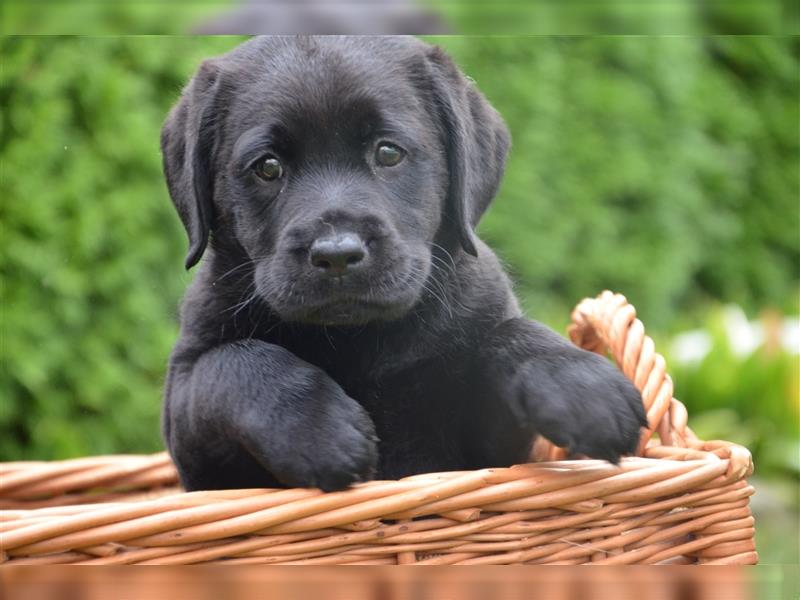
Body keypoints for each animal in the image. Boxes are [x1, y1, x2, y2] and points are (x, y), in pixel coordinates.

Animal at [159, 35, 648, 490]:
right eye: (267, 167)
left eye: (388, 152)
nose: (337, 254)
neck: (359, 340)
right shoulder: (190, 427)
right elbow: (232, 363)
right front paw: (320, 432)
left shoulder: (493, 446)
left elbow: (510, 334)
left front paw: (584, 389)